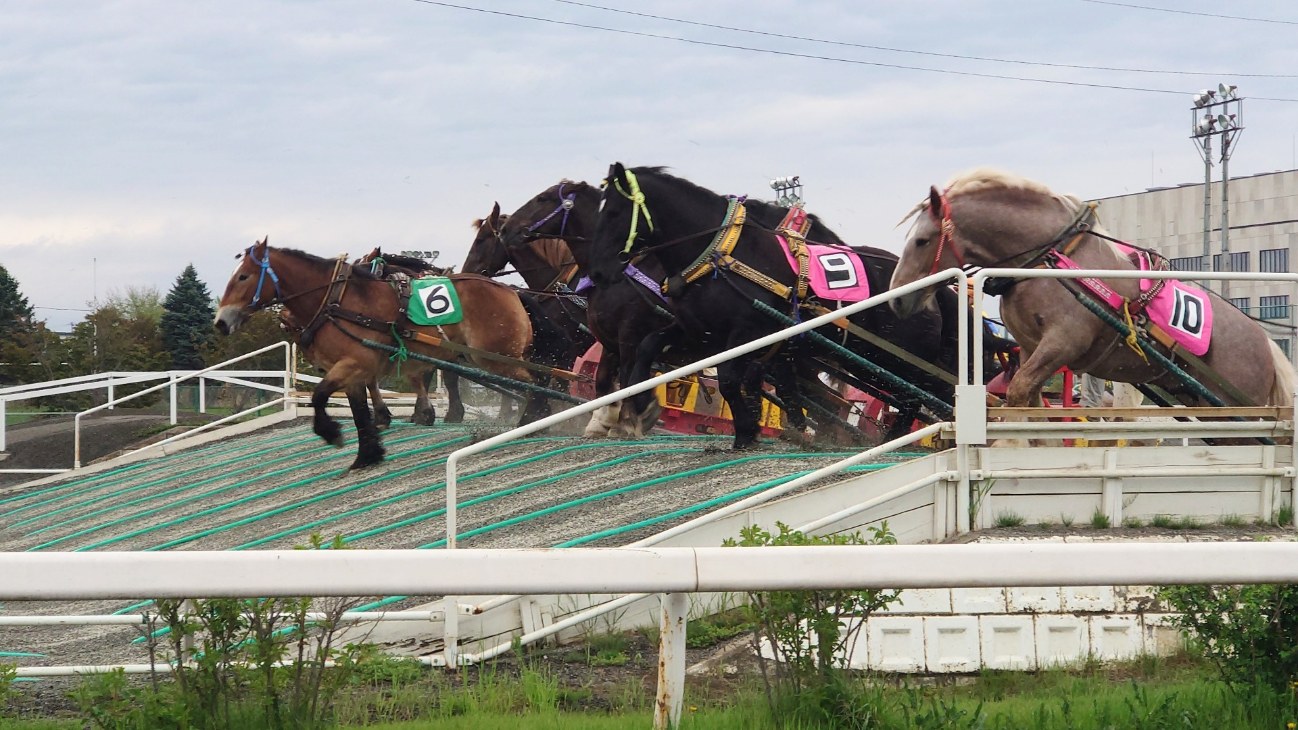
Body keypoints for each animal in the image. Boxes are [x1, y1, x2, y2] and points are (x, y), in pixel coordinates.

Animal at [216, 236, 537, 467]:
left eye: (243, 277)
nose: (220, 322)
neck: (340, 301)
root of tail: (510, 291)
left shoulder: (354, 362)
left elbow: (319, 395)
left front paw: (332, 432)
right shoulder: (356, 367)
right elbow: (360, 409)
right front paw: (368, 453)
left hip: (495, 356)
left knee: (536, 383)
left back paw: (532, 419)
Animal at [594, 165, 970, 449]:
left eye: (613, 212)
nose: (599, 272)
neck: (724, 254)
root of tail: (933, 289)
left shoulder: (747, 333)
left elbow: (730, 380)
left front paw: (747, 430)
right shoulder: (699, 332)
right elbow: (647, 348)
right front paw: (642, 407)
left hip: (894, 357)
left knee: (914, 396)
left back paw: (895, 438)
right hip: (869, 358)